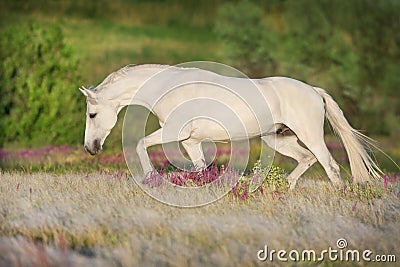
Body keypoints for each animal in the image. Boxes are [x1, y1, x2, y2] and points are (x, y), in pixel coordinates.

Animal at [79, 63, 382, 189]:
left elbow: (140, 144)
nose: (90, 148)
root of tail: (314, 91)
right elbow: (201, 169)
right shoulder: (191, 141)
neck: (167, 87)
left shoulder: (173, 133)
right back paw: (278, 188)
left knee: (329, 166)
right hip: (278, 139)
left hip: (310, 136)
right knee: (306, 160)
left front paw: (150, 178)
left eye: (92, 115)